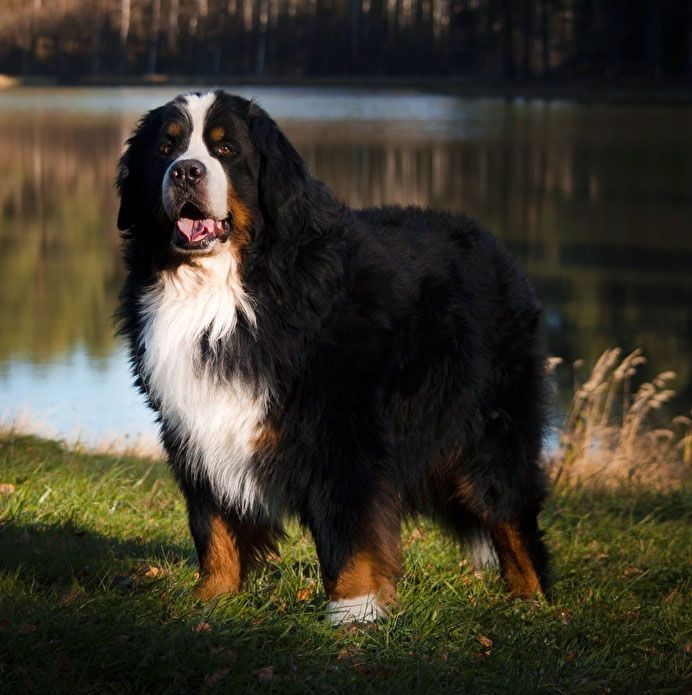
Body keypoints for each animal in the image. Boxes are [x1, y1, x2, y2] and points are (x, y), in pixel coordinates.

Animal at [117, 89, 552, 624]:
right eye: (166, 149)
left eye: (226, 150)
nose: (185, 172)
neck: (224, 291)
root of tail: (496, 247)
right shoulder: (194, 424)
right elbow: (213, 523)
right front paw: (210, 598)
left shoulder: (342, 430)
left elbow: (348, 530)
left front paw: (354, 611)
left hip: (489, 431)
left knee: (510, 513)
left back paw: (531, 602)